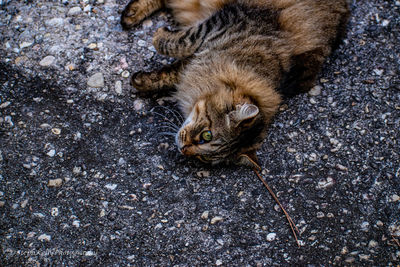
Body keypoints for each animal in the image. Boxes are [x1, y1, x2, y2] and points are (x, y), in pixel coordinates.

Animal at [120, 0, 348, 168]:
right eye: (206, 135)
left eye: (205, 157)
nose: (184, 150)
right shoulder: (227, 20)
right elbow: (180, 42)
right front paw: (159, 33)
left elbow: (172, 71)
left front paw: (142, 81)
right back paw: (130, 16)